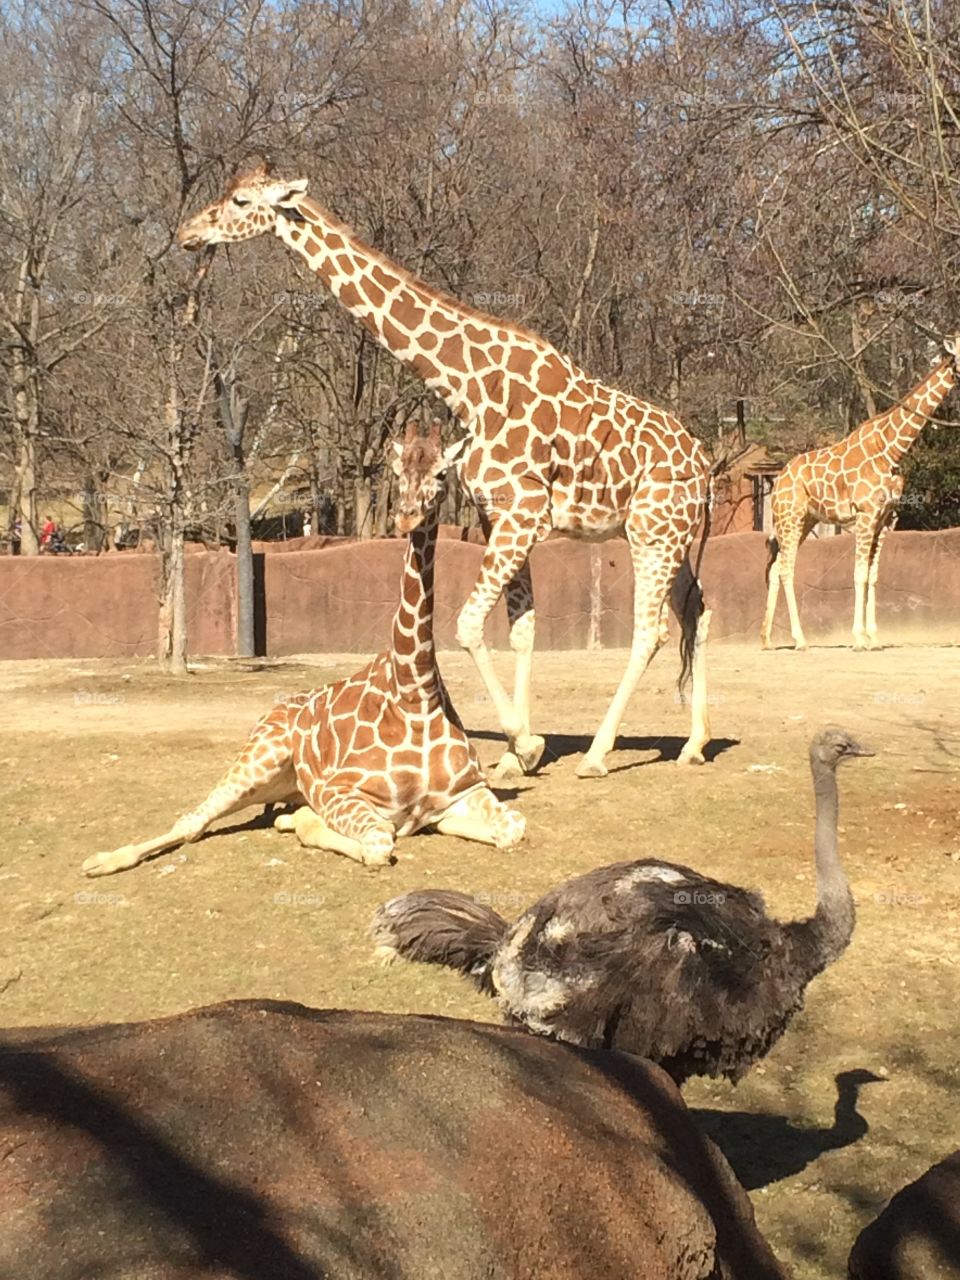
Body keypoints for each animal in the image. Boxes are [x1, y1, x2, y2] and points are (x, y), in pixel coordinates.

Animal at [81, 421, 525, 877]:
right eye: (398, 470)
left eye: (440, 473)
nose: (406, 515)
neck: (415, 694)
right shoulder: (338, 791)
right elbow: (378, 843)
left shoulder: (466, 789)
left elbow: (512, 829)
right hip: (260, 757)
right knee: (192, 822)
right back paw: (100, 861)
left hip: (280, 783)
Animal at [177, 164, 712, 780]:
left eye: (240, 201)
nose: (187, 233)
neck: (469, 385)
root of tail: (705, 463)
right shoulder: (497, 515)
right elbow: (522, 630)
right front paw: (516, 755)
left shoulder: (523, 514)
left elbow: (467, 624)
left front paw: (525, 744)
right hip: (671, 536)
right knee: (698, 611)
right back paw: (696, 743)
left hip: (653, 532)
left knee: (651, 631)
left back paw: (600, 754)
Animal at [761, 335, 960, 652]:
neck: (891, 449)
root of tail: (778, 479)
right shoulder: (866, 515)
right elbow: (858, 574)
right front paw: (857, 638)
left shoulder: (885, 520)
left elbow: (873, 576)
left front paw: (873, 638)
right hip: (790, 517)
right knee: (786, 568)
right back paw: (800, 639)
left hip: (804, 520)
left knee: (776, 566)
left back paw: (767, 639)